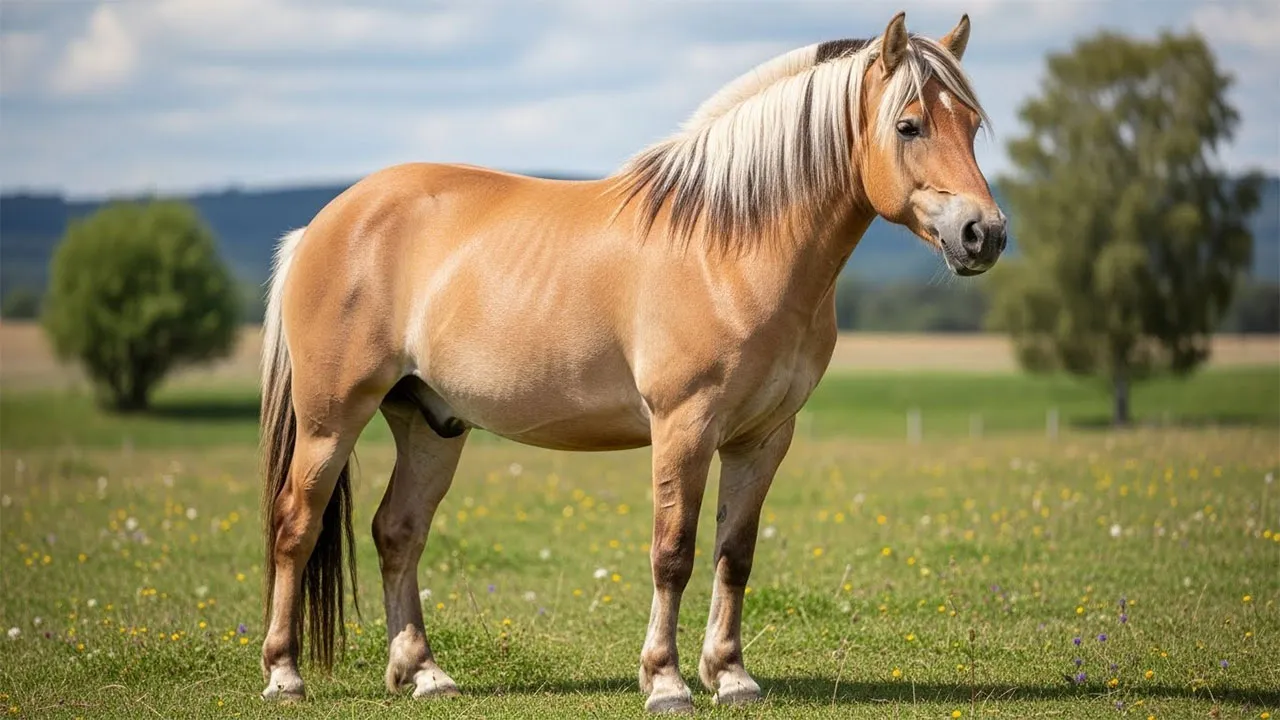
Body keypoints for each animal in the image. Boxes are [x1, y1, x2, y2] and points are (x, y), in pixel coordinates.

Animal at [258, 10, 1005, 713]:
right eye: (909, 125)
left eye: (971, 124)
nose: (984, 233)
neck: (730, 247)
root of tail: (323, 224)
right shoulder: (684, 427)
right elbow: (672, 553)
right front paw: (666, 682)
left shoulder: (763, 438)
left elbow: (735, 554)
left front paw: (730, 676)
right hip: (331, 420)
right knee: (296, 524)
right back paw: (285, 675)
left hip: (429, 422)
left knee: (398, 532)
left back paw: (423, 673)